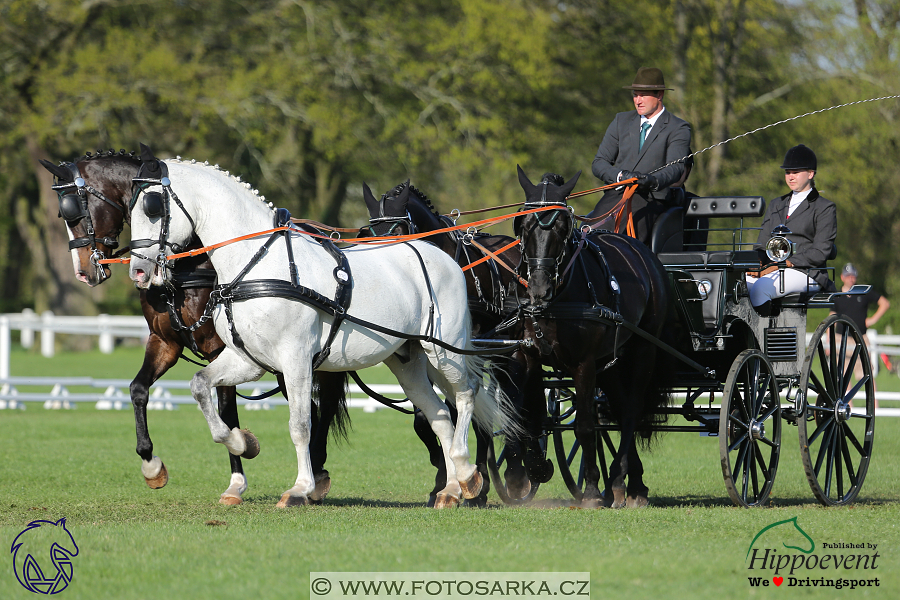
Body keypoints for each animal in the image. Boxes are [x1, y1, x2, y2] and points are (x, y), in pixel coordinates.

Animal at [39, 148, 348, 504]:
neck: (185, 267)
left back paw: (316, 472)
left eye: (74, 210)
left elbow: (227, 410)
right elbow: (138, 390)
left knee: (314, 406)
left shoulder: (221, 349)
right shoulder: (165, 342)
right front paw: (151, 465)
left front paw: (238, 472)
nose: (83, 273)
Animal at [125, 162, 512, 508]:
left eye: (153, 207)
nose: (139, 272)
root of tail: (447, 260)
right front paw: (242, 443)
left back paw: (468, 475)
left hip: (444, 352)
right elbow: (200, 386)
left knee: (465, 396)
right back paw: (450, 490)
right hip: (408, 362)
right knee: (440, 416)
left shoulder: (296, 360)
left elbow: (300, 425)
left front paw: (299, 489)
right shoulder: (247, 360)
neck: (258, 264)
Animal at [360, 180, 544, 504]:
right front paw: (444, 478)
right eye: (370, 233)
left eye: (399, 230)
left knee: (517, 400)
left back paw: (521, 472)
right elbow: (428, 416)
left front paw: (466, 482)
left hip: (514, 352)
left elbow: (464, 411)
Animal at [510, 166, 672, 508]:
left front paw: (592, 490)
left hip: (643, 351)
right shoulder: (529, 355)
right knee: (621, 407)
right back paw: (633, 483)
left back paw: (619, 479)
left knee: (631, 410)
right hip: (609, 361)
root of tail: (642, 252)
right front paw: (533, 469)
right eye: (524, 225)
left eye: (562, 227)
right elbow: (529, 417)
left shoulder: (583, 364)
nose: (539, 289)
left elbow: (586, 426)